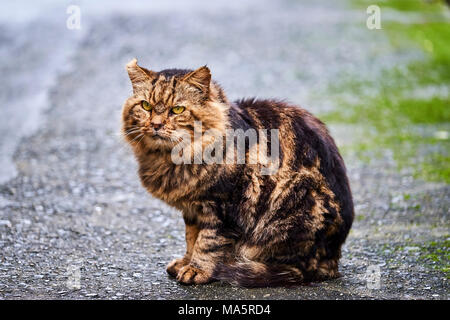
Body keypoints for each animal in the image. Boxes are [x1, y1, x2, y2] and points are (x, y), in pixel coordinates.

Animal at [123, 58, 356, 286]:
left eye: (177, 110)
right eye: (146, 106)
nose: (155, 124)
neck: (168, 159)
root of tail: (332, 261)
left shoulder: (222, 206)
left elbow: (207, 242)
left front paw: (197, 270)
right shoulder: (192, 209)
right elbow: (191, 238)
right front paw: (186, 262)